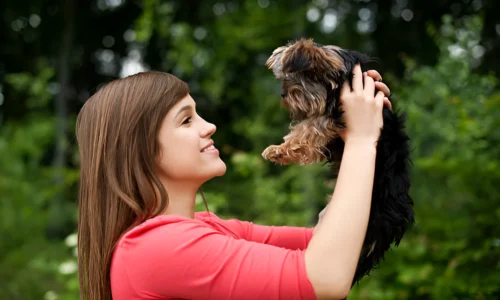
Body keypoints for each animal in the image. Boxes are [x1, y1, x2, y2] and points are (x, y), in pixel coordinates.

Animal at [262, 38, 414, 284]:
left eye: (295, 79)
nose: (283, 95)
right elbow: (304, 128)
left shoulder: (332, 115)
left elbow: (308, 129)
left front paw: (279, 150)